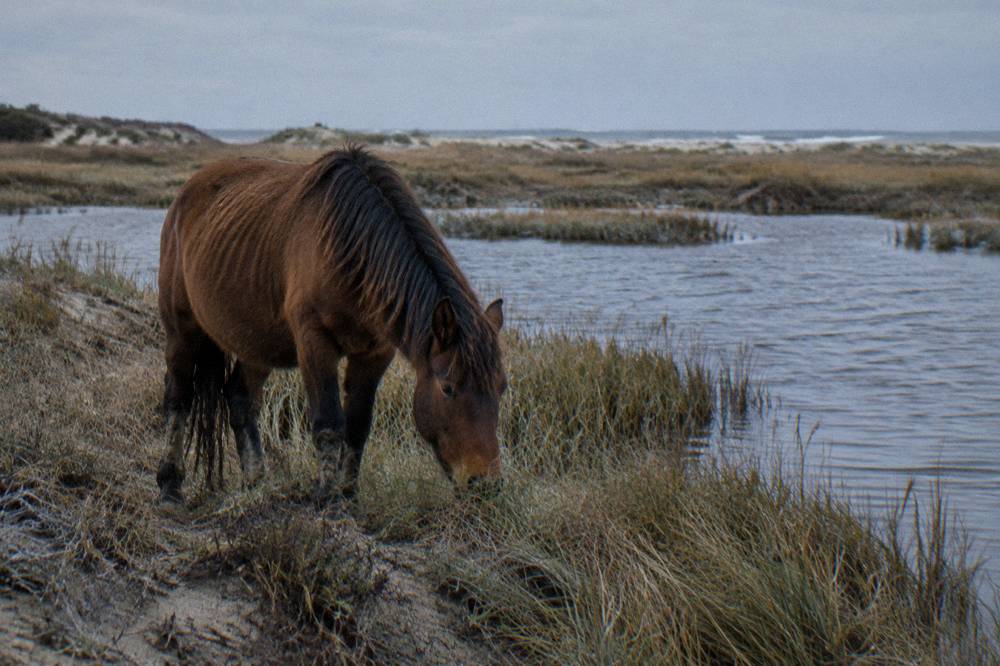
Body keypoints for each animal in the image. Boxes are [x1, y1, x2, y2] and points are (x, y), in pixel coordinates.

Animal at [156, 145, 506, 502]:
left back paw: (256, 481)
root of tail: (186, 192)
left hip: (256, 343)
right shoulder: (315, 342)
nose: (484, 484)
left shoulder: (375, 352)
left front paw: (348, 492)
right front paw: (326, 496)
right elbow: (328, 422)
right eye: (448, 388)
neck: (352, 253)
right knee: (178, 397)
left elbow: (358, 425)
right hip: (182, 330)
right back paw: (170, 485)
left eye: (501, 387)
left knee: (239, 398)